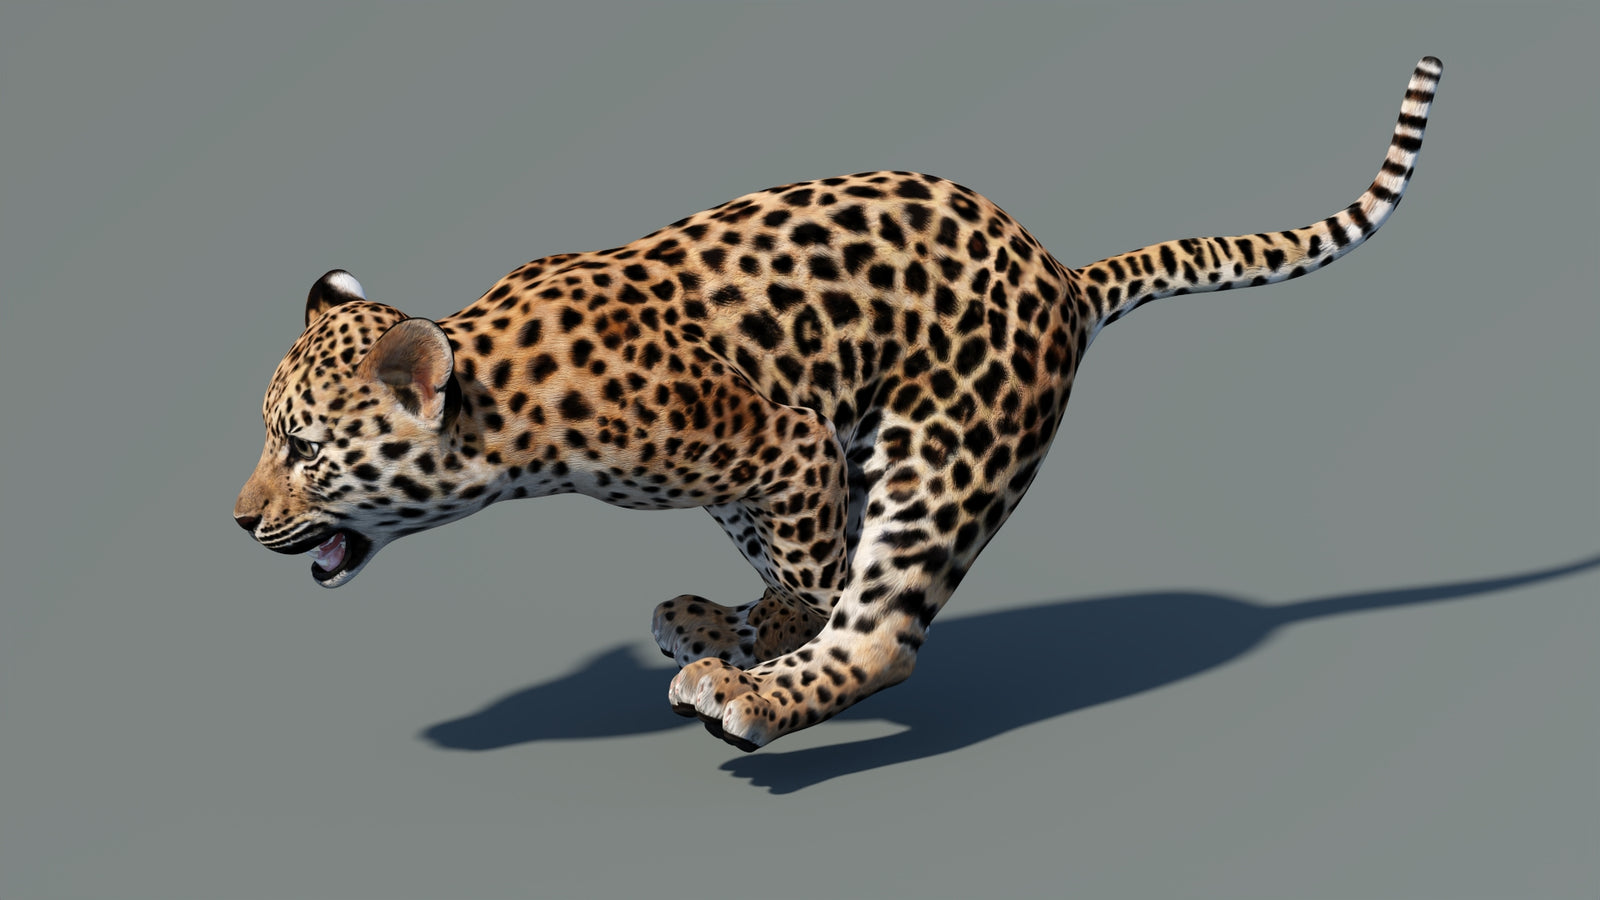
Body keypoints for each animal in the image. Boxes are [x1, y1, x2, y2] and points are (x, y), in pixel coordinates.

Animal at [235, 58, 1441, 751]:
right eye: (267, 440)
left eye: (303, 449)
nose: (241, 522)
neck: (508, 405)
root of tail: (1060, 273)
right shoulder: (779, 453)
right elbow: (794, 558)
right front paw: (762, 616)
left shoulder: (785, 436)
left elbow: (824, 572)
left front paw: (786, 633)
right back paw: (721, 628)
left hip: (947, 450)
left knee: (884, 633)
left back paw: (758, 692)